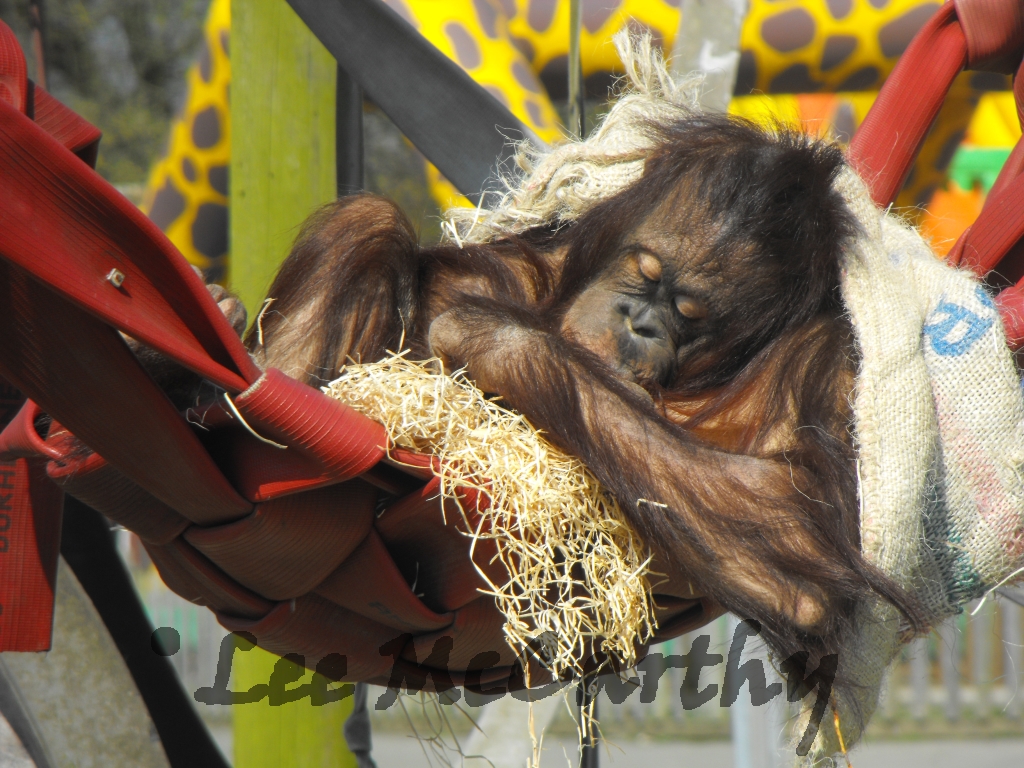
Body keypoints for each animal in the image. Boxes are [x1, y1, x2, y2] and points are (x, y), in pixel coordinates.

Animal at [245, 112, 925, 684]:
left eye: (687, 314)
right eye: (646, 273)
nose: (639, 322)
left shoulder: (829, 362)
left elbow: (800, 536)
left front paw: (493, 337)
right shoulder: (551, 254)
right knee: (367, 221)